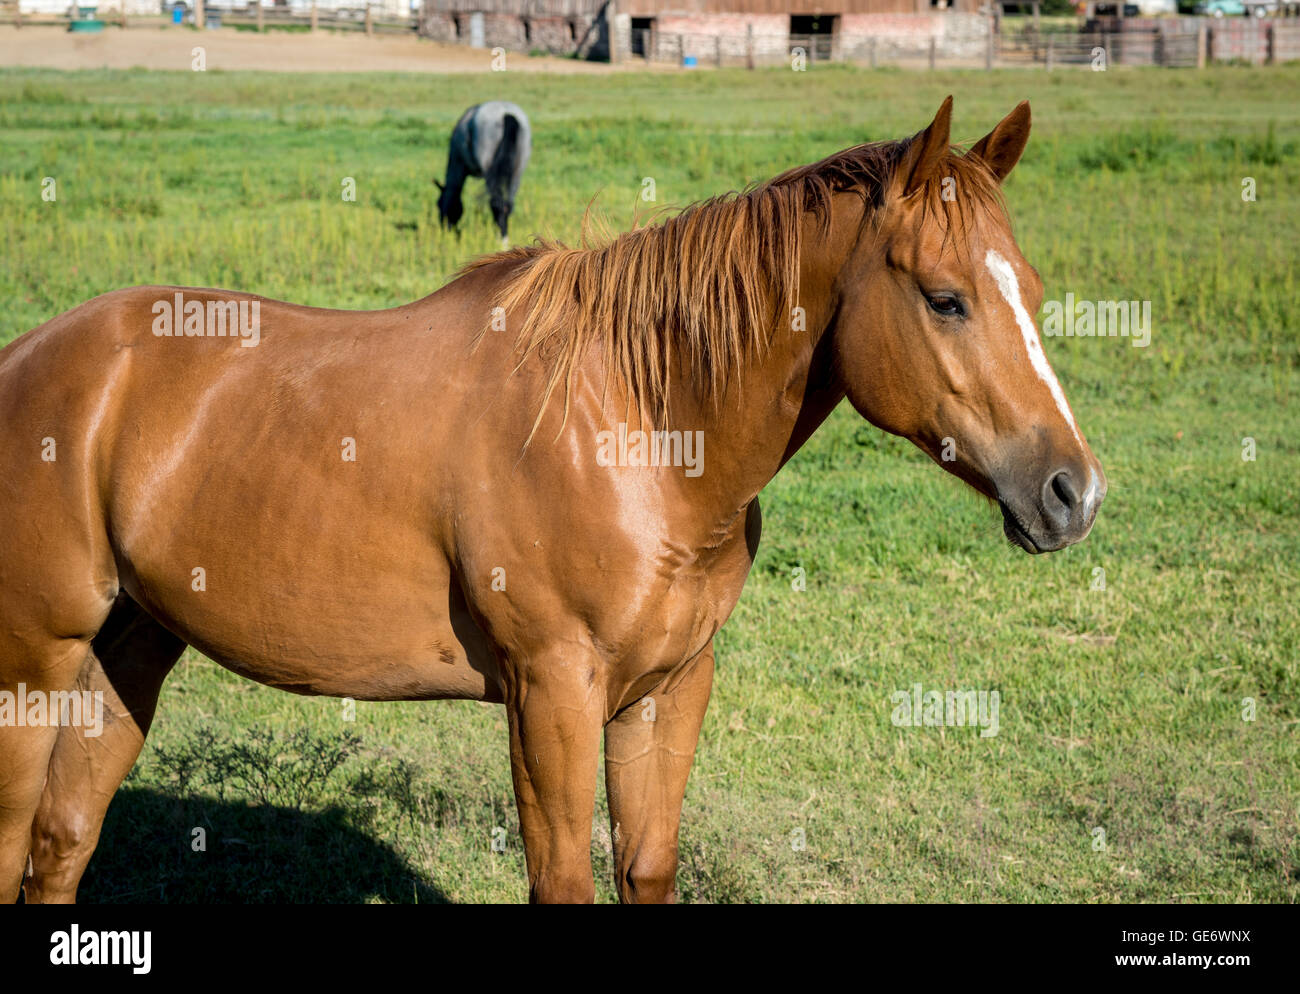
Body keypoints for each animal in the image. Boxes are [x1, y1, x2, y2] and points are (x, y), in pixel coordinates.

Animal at [434, 100, 530, 240]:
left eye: (438, 204)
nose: (446, 228)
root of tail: (506, 113)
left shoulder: (458, 164)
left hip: (489, 171)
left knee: (496, 205)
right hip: (517, 172)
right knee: (507, 205)